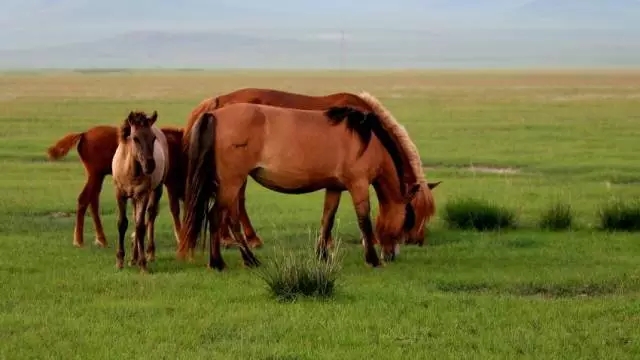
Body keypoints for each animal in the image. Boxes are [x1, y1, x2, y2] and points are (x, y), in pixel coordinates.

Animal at [44, 124, 185, 248]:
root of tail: (84, 134)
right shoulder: (168, 185)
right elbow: (169, 209)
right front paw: (179, 237)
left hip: (98, 177)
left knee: (93, 202)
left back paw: (101, 239)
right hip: (95, 176)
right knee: (84, 199)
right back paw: (79, 240)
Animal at [112, 111, 170, 272]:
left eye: (153, 138)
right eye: (135, 138)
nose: (150, 165)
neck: (130, 171)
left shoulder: (142, 195)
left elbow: (140, 226)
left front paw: (143, 264)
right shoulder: (120, 194)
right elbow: (122, 223)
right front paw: (120, 260)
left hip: (156, 190)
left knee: (150, 216)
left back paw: (149, 253)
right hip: (133, 198)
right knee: (135, 217)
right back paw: (133, 258)